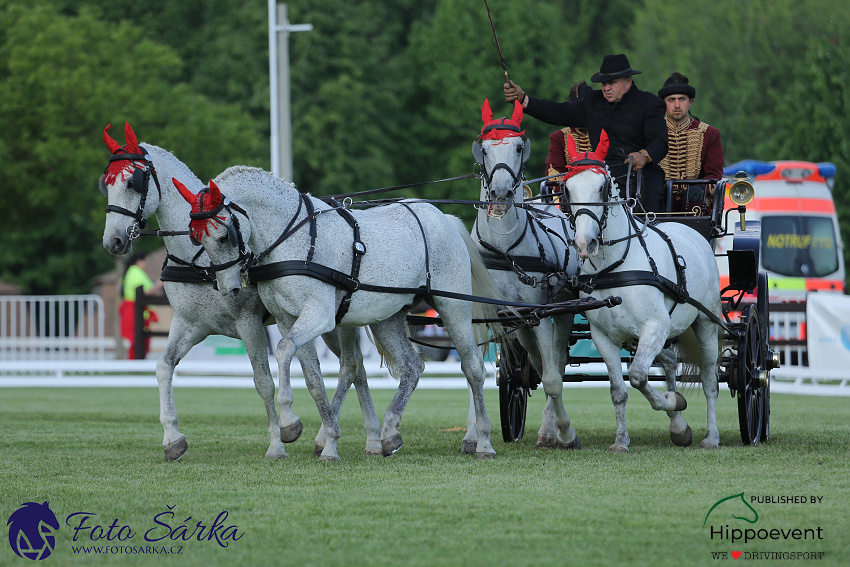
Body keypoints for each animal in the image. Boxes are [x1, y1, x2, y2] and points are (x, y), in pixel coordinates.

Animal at [97, 122, 380, 460]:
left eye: (133, 182)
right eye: (106, 184)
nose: (113, 241)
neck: (200, 261)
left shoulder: (248, 322)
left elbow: (263, 381)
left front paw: (280, 438)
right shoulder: (190, 323)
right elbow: (163, 367)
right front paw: (172, 437)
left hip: (333, 323)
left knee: (352, 367)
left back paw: (355, 435)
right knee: (356, 369)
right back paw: (370, 436)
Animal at [175, 170, 500, 462]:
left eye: (223, 236)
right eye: (197, 239)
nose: (228, 287)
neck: (293, 239)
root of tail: (443, 218)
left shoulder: (319, 315)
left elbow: (283, 350)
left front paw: (289, 421)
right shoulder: (287, 319)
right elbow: (314, 379)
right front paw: (329, 440)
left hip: (452, 306)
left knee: (473, 367)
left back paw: (481, 440)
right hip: (387, 318)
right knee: (413, 366)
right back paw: (389, 432)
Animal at [470, 100, 584, 450]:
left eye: (518, 147)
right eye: (485, 148)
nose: (501, 194)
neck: (505, 250)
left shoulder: (540, 314)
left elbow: (551, 378)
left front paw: (564, 432)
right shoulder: (482, 314)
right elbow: (474, 370)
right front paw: (473, 435)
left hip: (559, 312)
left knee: (554, 365)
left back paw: (551, 431)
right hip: (520, 323)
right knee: (534, 361)